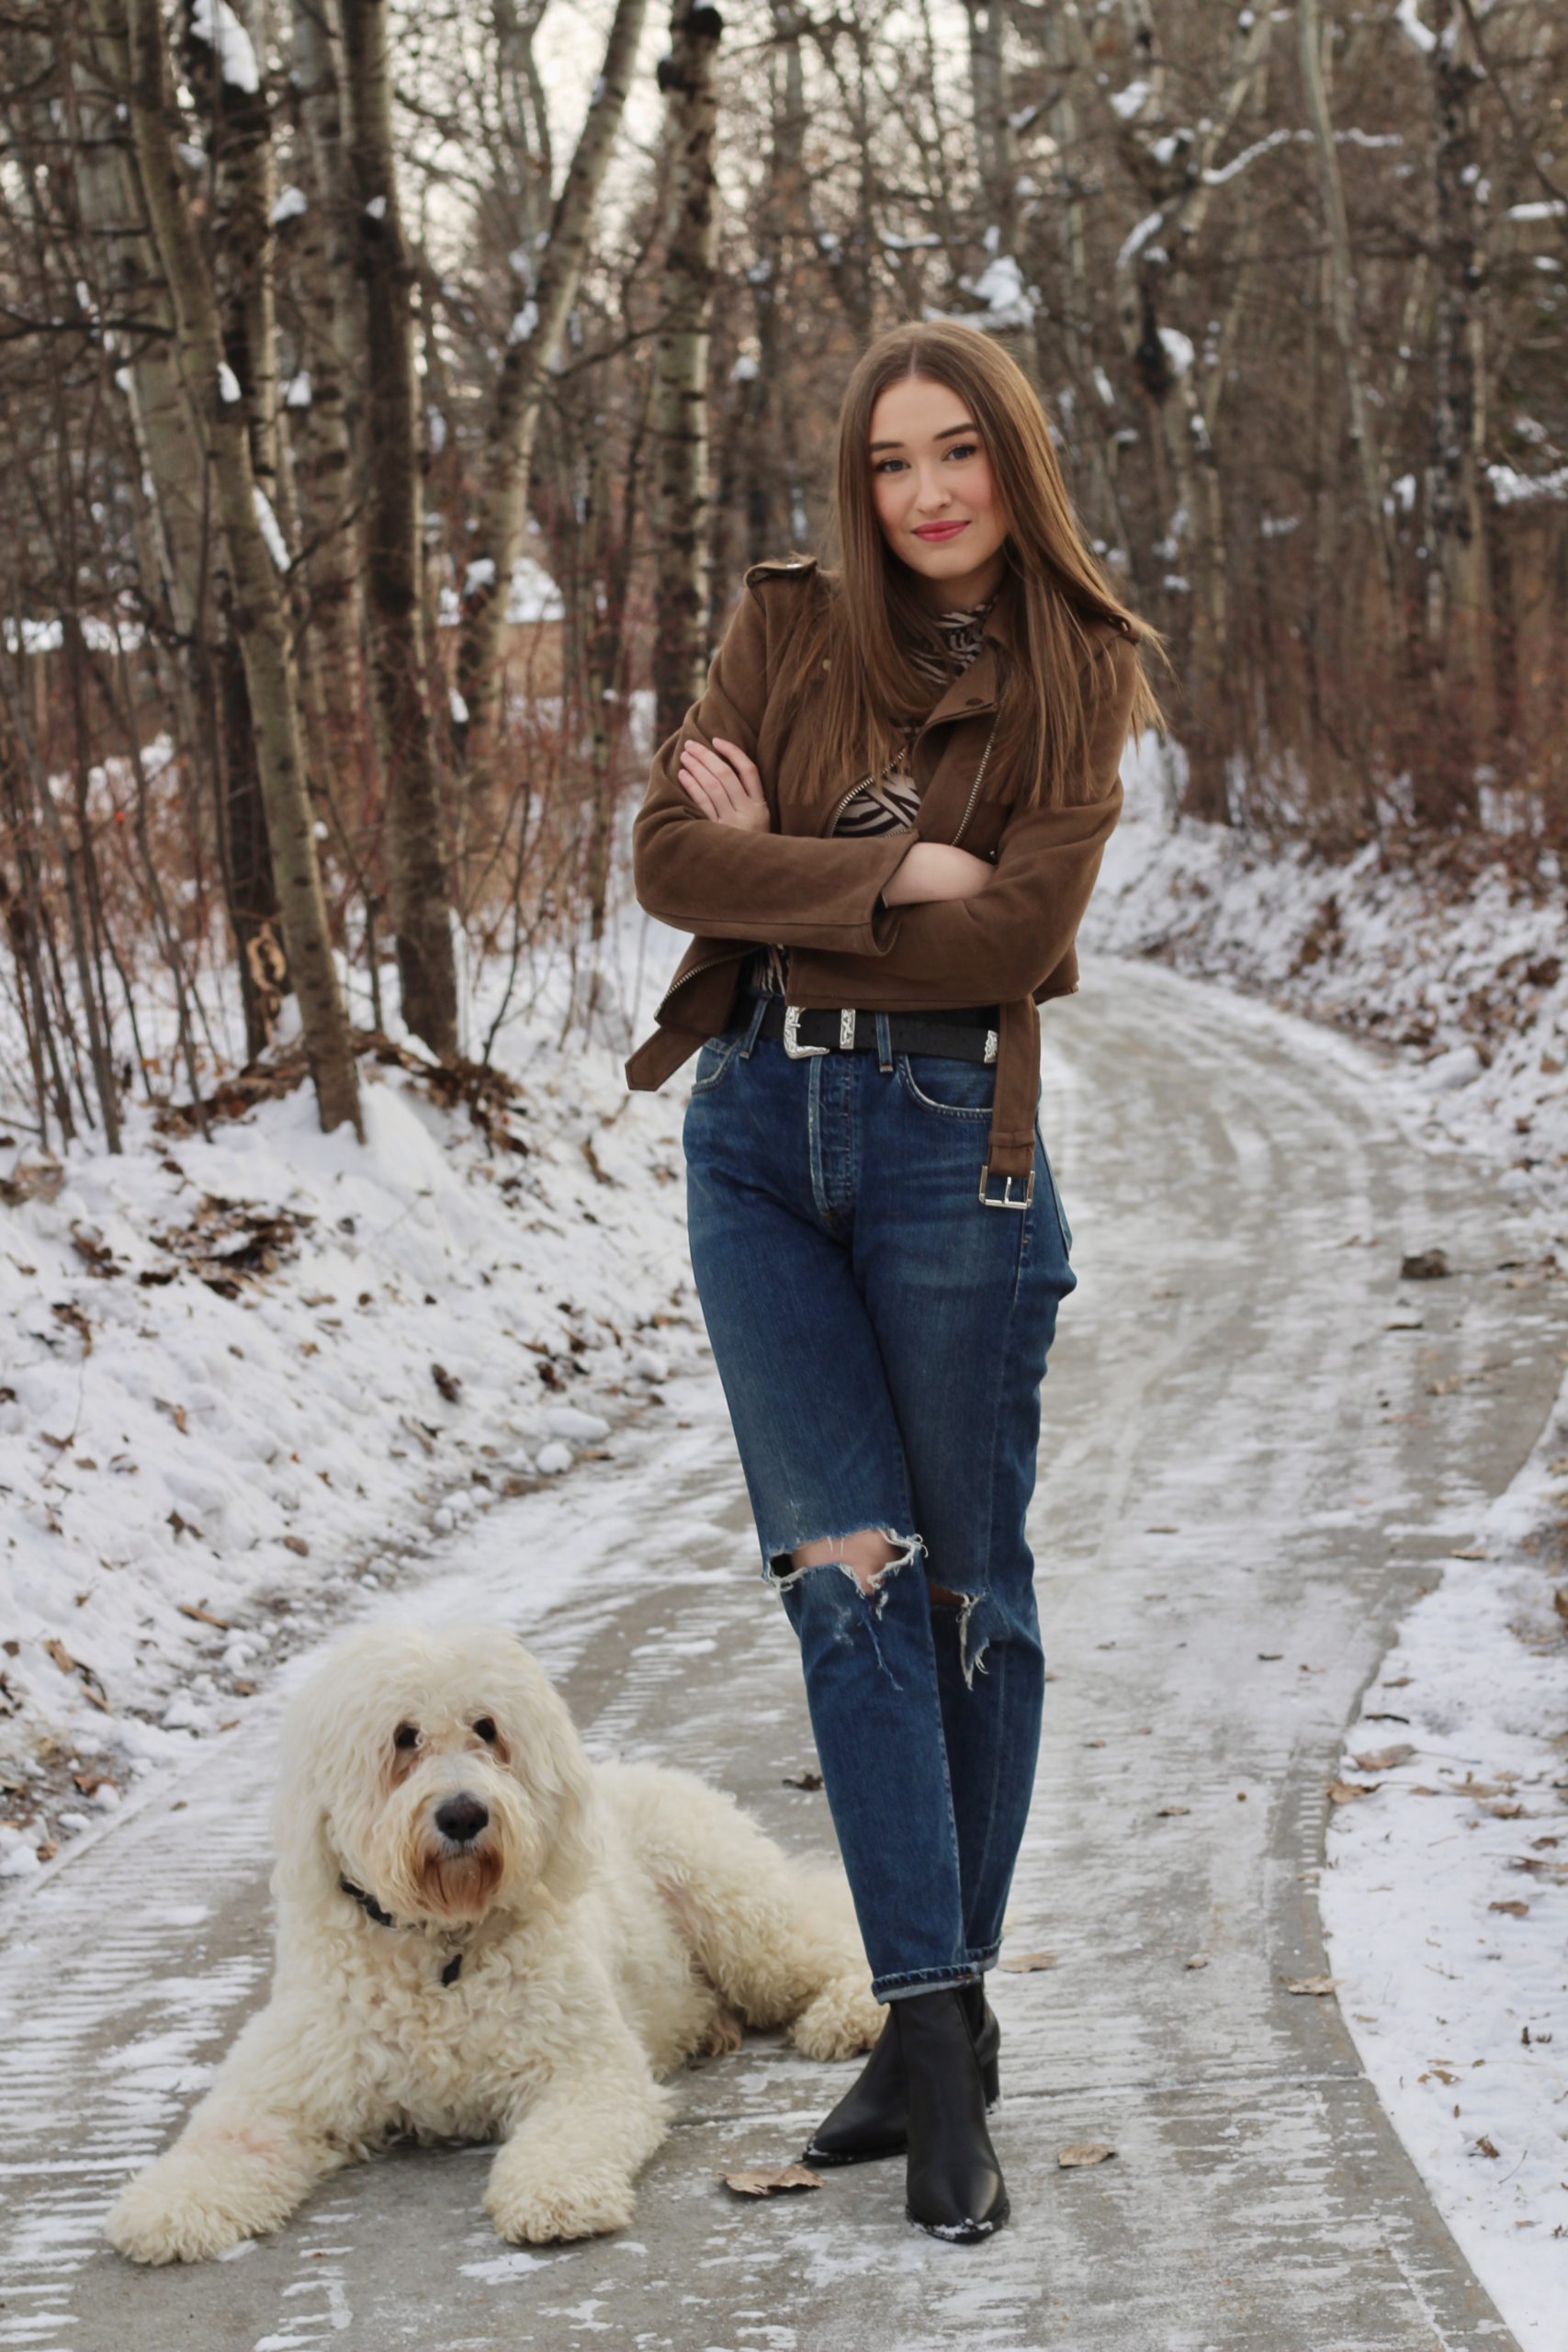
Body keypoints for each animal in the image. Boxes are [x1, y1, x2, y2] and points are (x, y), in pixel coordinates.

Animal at [107, 1618, 884, 2257]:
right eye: (403, 1737)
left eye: (486, 1728)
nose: (462, 1814)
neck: (438, 1947)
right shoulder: (290, 2081)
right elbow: (229, 2134)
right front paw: (170, 2204)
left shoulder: (582, 2067)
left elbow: (571, 2133)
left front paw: (557, 2197)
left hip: (735, 1908)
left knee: (830, 1939)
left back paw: (850, 2015)